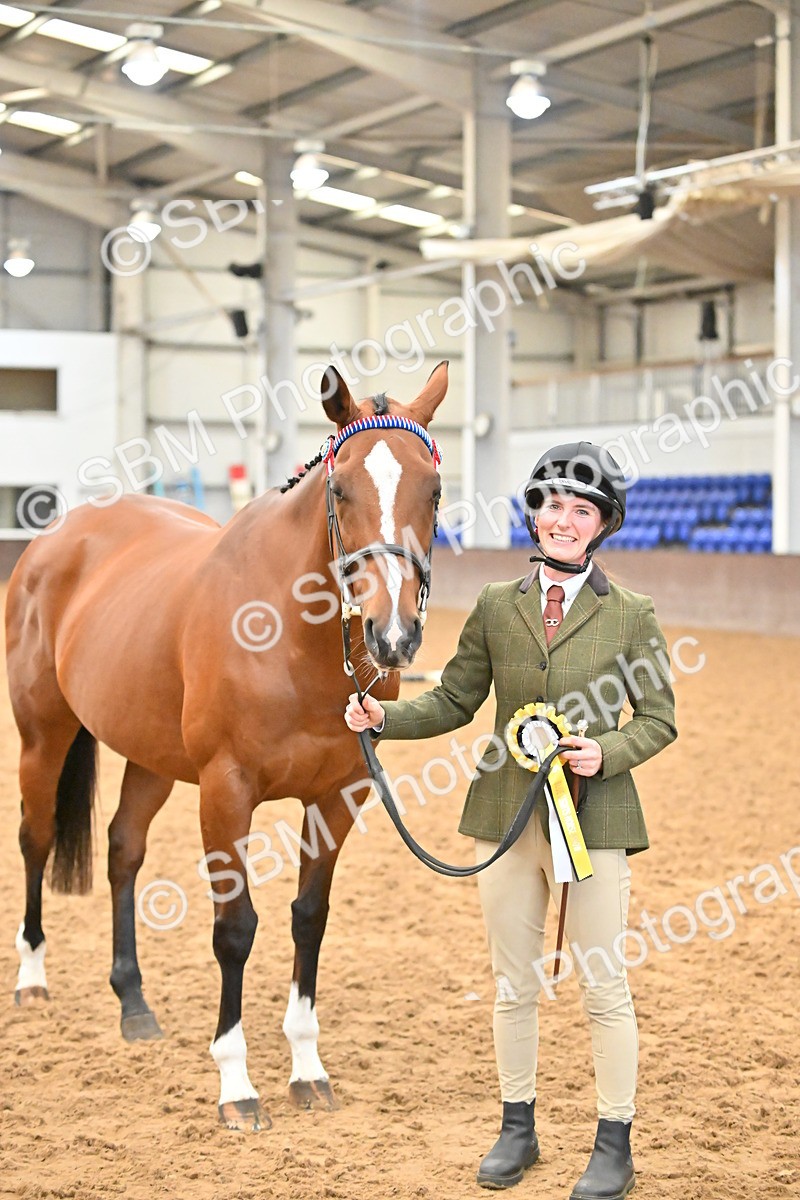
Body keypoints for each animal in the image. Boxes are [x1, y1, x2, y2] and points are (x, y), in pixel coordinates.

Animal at [6, 362, 448, 1132]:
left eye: (433, 488)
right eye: (340, 489)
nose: (394, 636)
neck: (293, 638)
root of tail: (57, 537)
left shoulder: (339, 795)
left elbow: (308, 920)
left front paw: (307, 1069)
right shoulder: (226, 789)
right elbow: (235, 930)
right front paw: (237, 1087)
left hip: (151, 758)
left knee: (123, 851)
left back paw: (134, 1004)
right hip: (43, 734)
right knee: (36, 838)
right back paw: (32, 979)